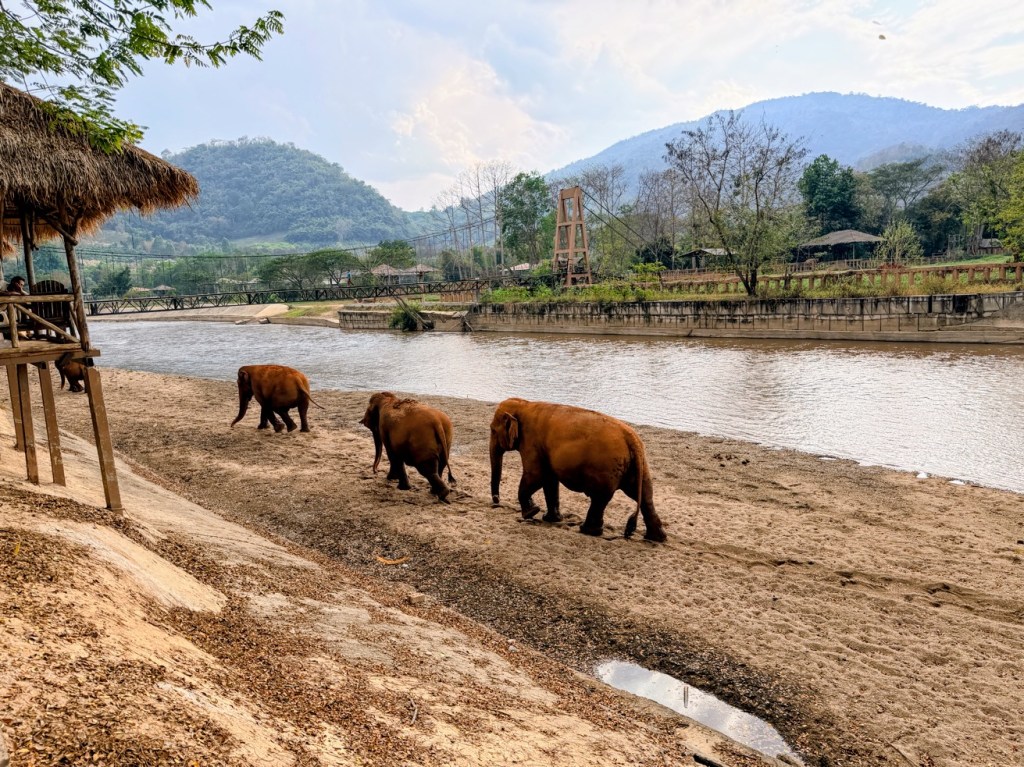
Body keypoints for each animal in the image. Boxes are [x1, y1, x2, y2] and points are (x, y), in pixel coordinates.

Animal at [489, 398, 667, 542]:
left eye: (492, 430)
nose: (496, 502)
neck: (525, 404)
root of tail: (632, 439)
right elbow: (549, 480)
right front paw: (550, 518)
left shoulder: (531, 442)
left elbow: (536, 475)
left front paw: (530, 513)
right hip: (638, 467)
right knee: (645, 497)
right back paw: (657, 538)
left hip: (606, 469)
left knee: (600, 498)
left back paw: (587, 530)